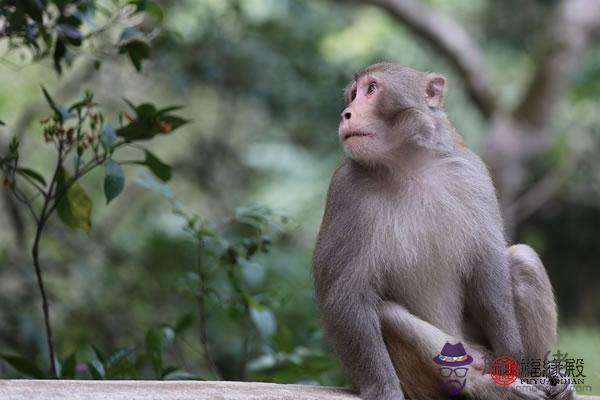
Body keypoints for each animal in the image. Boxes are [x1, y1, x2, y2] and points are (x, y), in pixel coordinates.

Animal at [314, 63, 572, 400]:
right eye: (353, 94)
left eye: (371, 89)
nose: (346, 113)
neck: (409, 166)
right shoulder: (346, 189)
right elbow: (344, 295)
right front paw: (383, 390)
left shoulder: (472, 172)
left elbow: (487, 269)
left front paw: (513, 361)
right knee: (389, 314)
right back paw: (484, 387)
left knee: (523, 260)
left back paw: (535, 376)